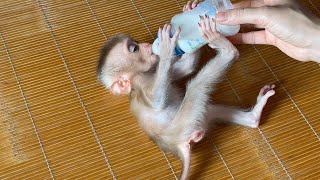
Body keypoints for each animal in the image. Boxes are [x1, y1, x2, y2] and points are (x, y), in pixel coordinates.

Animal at [97, 15, 276, 179]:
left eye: (137, 43)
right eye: (134, 49)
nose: (147, 45)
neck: (142, 74)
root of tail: (177, 146)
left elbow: (186, 68)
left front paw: (189, 9)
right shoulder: (140, 83)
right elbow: (155, 103)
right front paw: (166, 49)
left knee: (209, 107)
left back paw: (253, 116)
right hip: (184, 124)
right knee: (196, 86)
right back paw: (227, 49)